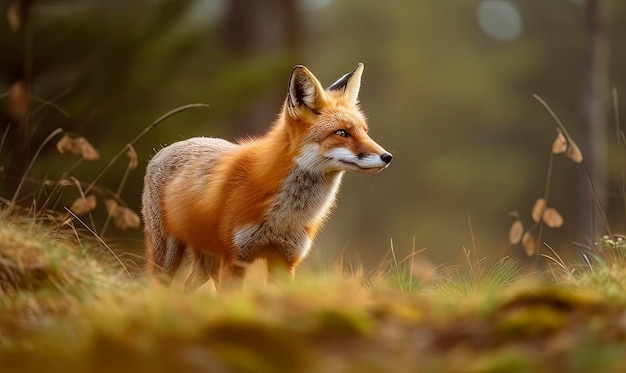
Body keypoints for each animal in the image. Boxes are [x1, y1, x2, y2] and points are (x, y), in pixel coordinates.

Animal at [143, 62, 390, 290]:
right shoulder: (235, 259)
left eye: (365, 132)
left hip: (206, 263)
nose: (387, 156)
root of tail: (164, 149)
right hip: (168, 257)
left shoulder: (286, 259)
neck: (283, 218)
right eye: (342, 133)